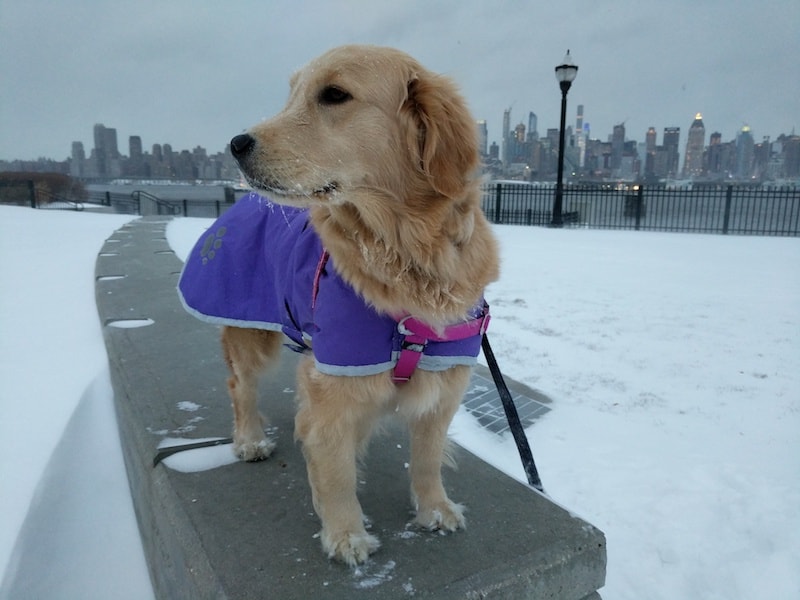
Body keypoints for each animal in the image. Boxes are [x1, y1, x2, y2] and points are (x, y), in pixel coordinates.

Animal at [178, 44, 496, 564]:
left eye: (334, 95)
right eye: (291, 94)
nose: (236, 144)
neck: (403, 254)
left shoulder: (444, 379)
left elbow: (428, 457)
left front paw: (435, 509)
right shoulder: (334, 381)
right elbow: (335, 467)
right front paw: (347, 533)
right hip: (250, 335)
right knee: (240, 386)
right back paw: (249, 439)